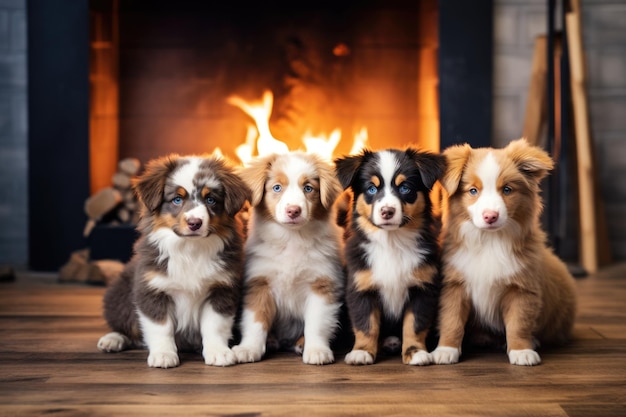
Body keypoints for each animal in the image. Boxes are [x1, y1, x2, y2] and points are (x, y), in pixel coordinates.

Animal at [97, 153, 249, 368]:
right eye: (177, 199)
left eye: (211, 199)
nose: (195, 223)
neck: (190, 249)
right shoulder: (152, 289)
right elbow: (161, 327)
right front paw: (163, 355)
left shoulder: (222, 289)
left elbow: (215, 325)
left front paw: (219, 352)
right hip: (119, 295)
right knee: (126, 326)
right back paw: (112, 339)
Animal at [232, 150, 344, 364]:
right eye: (277, 187)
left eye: (308, 188)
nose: (293, 211)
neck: (292, 238)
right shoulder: (259, 283)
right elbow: (255, 320)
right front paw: (249, 348)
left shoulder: (322, 283)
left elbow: (316, 323)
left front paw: (316, 350)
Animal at [334, 147, 446, 364]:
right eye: (371, 189)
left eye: (405, 188)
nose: (387, 211)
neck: (392, 243)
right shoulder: (361, 287)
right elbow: (366, 324)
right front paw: (362, 352)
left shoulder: (423, 288)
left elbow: (414, 324)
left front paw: (415, 352)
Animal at [434, 137, 576, 364]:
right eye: (473, 191)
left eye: (507, 190)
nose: (490, 216)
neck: (489, 241)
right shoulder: (454, 285)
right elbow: (451, 320)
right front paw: (445, 349)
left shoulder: (522, 288)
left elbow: (518, 323)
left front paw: (521, 351)